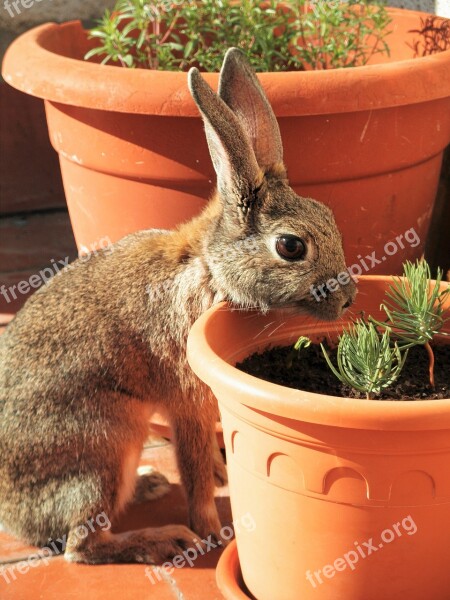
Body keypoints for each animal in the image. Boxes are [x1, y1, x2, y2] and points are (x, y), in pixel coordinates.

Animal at [0, 48, 356, 568]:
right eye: (291, 246)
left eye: (329, 216)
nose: (349, 297)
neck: (210, 268)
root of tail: (14, 519)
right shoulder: (187, 398)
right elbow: (193, 469)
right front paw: (211, 530)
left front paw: (221, 476)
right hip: (103, 446)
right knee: (79, 547)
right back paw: (165, 539)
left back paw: (150, 484)